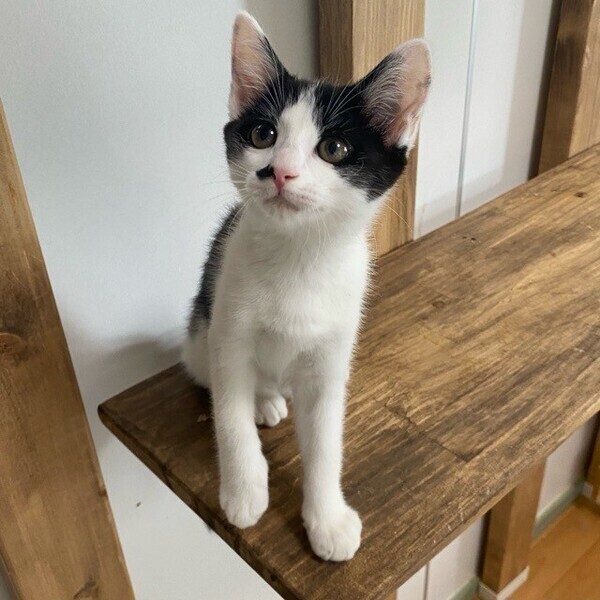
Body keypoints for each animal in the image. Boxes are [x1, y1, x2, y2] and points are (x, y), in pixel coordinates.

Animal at [182, 11, 430, 562]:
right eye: (262, 133)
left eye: (333, 148)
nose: (278, 171)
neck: (298, 259)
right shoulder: (228, 334)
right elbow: (229, 419)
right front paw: (244, 492)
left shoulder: (332, 358)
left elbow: (325, 444)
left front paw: (327, 520)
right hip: (199, 336)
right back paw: (263, 402)